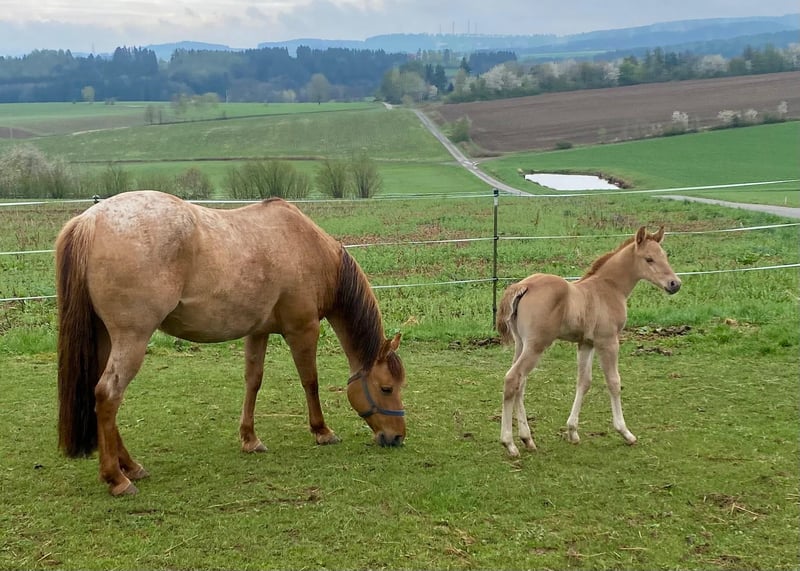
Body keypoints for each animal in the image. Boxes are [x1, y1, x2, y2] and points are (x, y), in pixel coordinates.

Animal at [56, 190, 406, 496]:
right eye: (386, 388)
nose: (397, 437)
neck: (306, 248)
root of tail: (90, 221)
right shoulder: (303, 330)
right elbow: (310, 381)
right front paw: (322, 431)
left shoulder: (258, 331)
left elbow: (253, 381)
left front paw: (250, 439)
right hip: (133, 338)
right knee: (108, 394)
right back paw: (117, 478)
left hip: (105, 337)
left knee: (100, 395)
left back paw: (130, 466)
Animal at [495, 226, 681, 457]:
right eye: (649, 259)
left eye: (664, 256)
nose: (675, 284)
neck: (609, 288)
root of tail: (524, 285)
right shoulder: (608, 342)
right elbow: (614, 382)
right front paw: (625, 432)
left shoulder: (586, 343)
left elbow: (584, 382)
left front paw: (572, 431)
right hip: (537, 345)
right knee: (512, 379)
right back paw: (509, 443)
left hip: (522, 344)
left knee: (520, 383)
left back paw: (527, 439)